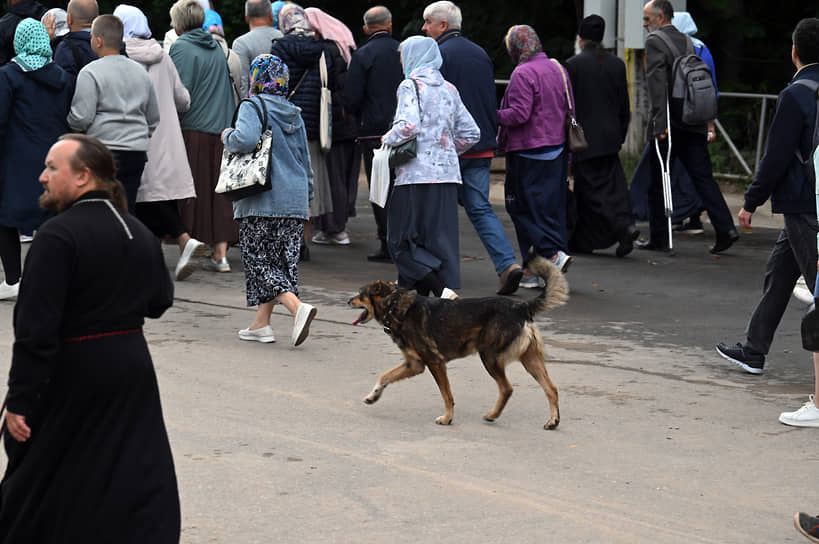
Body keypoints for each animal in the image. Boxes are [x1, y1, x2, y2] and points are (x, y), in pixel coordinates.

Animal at [348, 258, 572, 432]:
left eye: (360, 294)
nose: (349, 301)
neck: (395, 306)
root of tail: (521, 307)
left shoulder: (435, 362)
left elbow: (447, 395)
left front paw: (447, 418)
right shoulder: (414, 365)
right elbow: (384, 376)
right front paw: (373, 396)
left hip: (489, 357)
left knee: (507, 388)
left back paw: (493, 415)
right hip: (530, 360)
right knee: (551, 388)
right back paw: (552, 421)